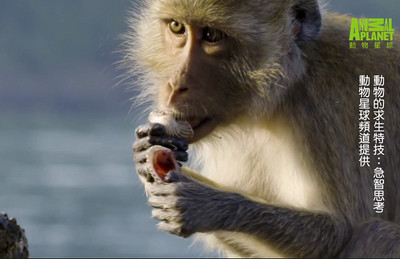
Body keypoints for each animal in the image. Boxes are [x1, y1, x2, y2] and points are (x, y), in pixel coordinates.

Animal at [126, 0, 400, 258]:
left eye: (212, 36)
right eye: (177, 27)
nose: (174, 84)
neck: (287, 86)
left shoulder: (328, 110)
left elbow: (339, 231)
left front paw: (205, 203)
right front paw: (145, 155)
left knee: (378, 235)